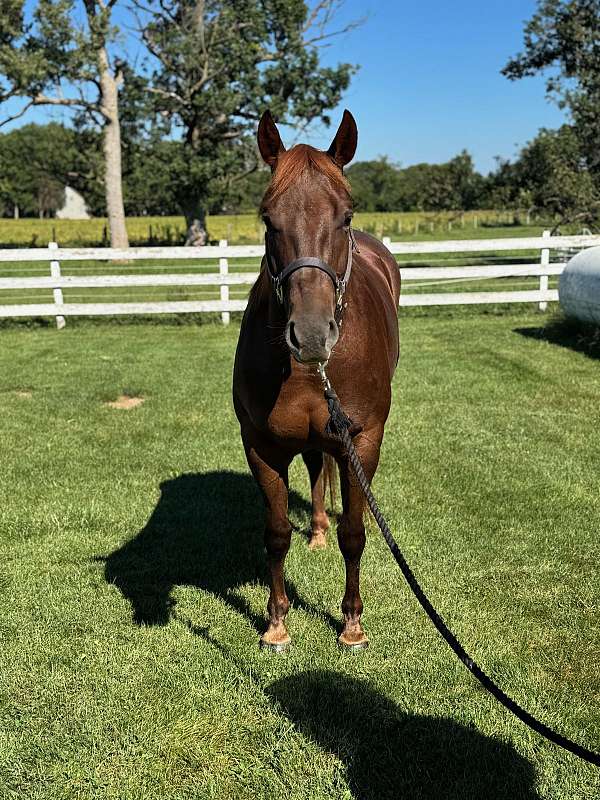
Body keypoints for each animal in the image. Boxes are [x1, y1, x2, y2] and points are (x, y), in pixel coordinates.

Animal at [233, 109, 401, 651]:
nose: (309, 335)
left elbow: (356, 532)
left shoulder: (361, 441)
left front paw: (352, 624)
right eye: (267, 217)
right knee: (315, 466)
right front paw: (276, 623)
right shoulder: (261, 444)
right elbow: (276, 534)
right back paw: (319, 529)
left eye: (345, 215)